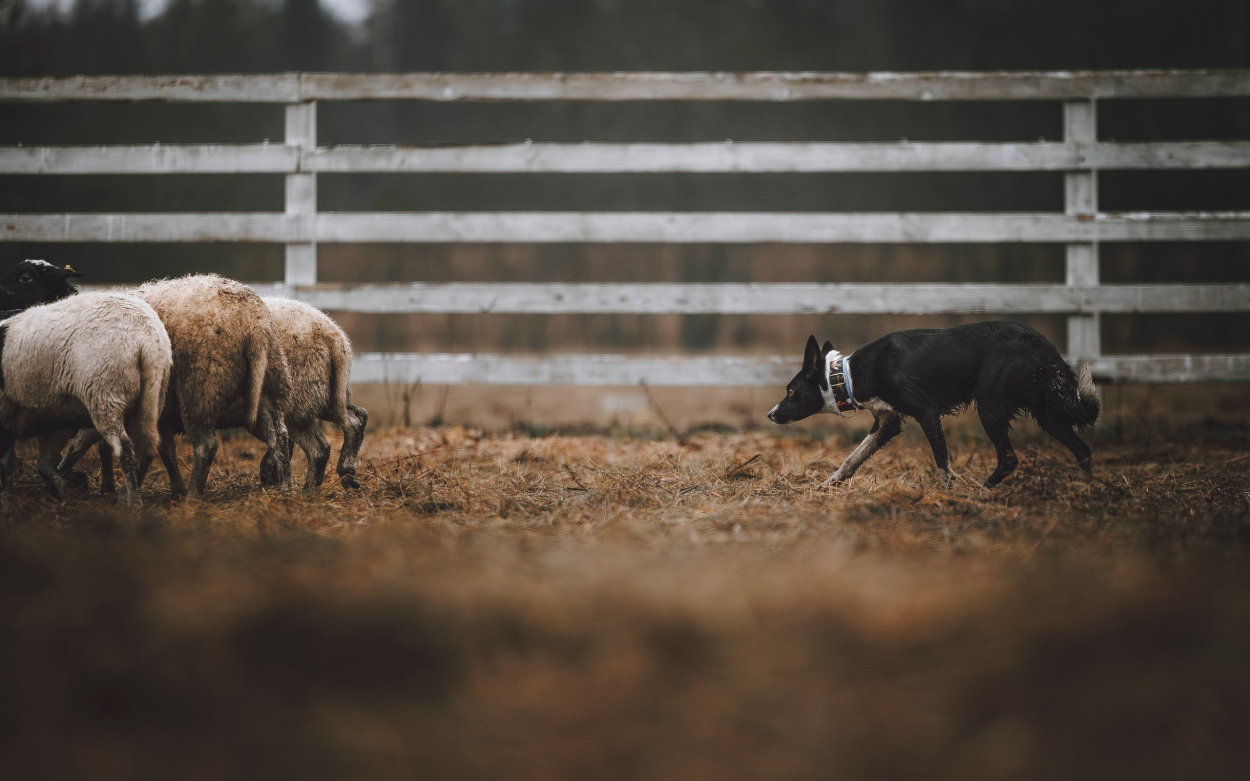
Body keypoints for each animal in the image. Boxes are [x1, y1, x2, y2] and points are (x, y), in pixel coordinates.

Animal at [0, 292, 171, 503]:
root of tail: (144, 337)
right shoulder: (59, 419)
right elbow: (44, 463)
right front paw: (61, 493)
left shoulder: (6, 410)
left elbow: (7, 459)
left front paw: (7, 493)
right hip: (153, 392)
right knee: (147, 447)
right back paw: (129, 495)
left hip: (105, 393)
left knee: (124, 447)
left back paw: (133, 502)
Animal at [59, 274, 293, 498]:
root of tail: (254, 324)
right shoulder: (160, 412)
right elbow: (164, 450)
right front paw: (175, 488)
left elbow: (82, 444)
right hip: (270, 384)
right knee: (279, 437)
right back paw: (285, 488)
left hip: (200, 388)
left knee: (207, 445)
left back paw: (193, 496)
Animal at [258, 297, 367, 491]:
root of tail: (336, 338)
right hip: (325, 393)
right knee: (357, 417)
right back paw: (346, 473)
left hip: (297, 394)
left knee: (313, 445)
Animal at [767, 322, 1100, 487]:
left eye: (791, 391)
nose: (771, 414)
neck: (848, 375)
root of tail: (1040, 343)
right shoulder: (886, 424)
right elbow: (851, 459)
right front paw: (827, 485)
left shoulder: (926, 412)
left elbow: (942, 462)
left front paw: (946, 494)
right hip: (1047, 413)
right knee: (1082, 449)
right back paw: (1086, 493)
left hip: (990, 408)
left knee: (1008, 458)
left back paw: (981, 491)